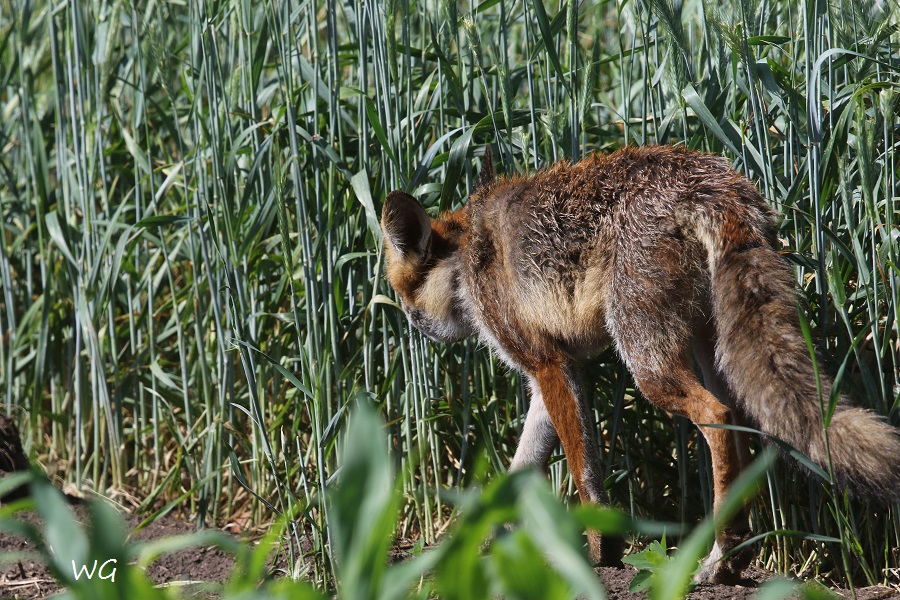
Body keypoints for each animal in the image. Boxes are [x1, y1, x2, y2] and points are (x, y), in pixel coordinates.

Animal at [379, 144, 900, 583]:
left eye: (404, 300)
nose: (414, 326)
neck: (465, 262)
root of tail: (713, 181)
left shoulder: (547, 363)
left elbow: (583, 473)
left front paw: (600, 553)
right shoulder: (555, 375)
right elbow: (518, 471)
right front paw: (472, 545)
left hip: (647, 362)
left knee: (715, 417)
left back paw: (720, 556)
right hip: (712, 352)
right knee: (739, 427)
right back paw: (733, 556)